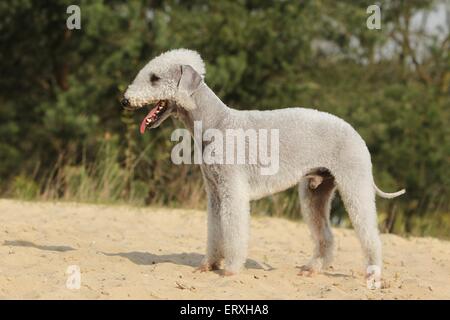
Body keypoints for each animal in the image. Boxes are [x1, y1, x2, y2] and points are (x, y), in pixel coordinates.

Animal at [122, 48, 404, 286]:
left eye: (155, 78)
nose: (125, 101)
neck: (217, 123)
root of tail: (355, 133)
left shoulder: (232, 189)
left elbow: (234, 230)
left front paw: (231, 270)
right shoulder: (214, 191)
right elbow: (215, 230)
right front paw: (208, 265)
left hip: (354, 181)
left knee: (370, 234)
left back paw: (372, 275)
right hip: (315, 190)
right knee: (326, 236)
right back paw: (311, 269)